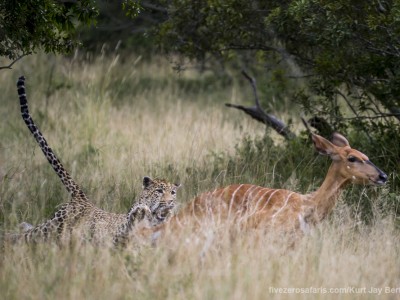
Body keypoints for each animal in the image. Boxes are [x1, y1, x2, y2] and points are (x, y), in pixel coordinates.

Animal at [9, 76, 181, 245]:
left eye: (173, 193)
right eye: (159, 191)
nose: (170, 202)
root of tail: (82, 200)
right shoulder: (118, 235)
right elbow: (130, 225)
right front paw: (140, 211)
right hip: (50, 228)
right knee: (25, 235)